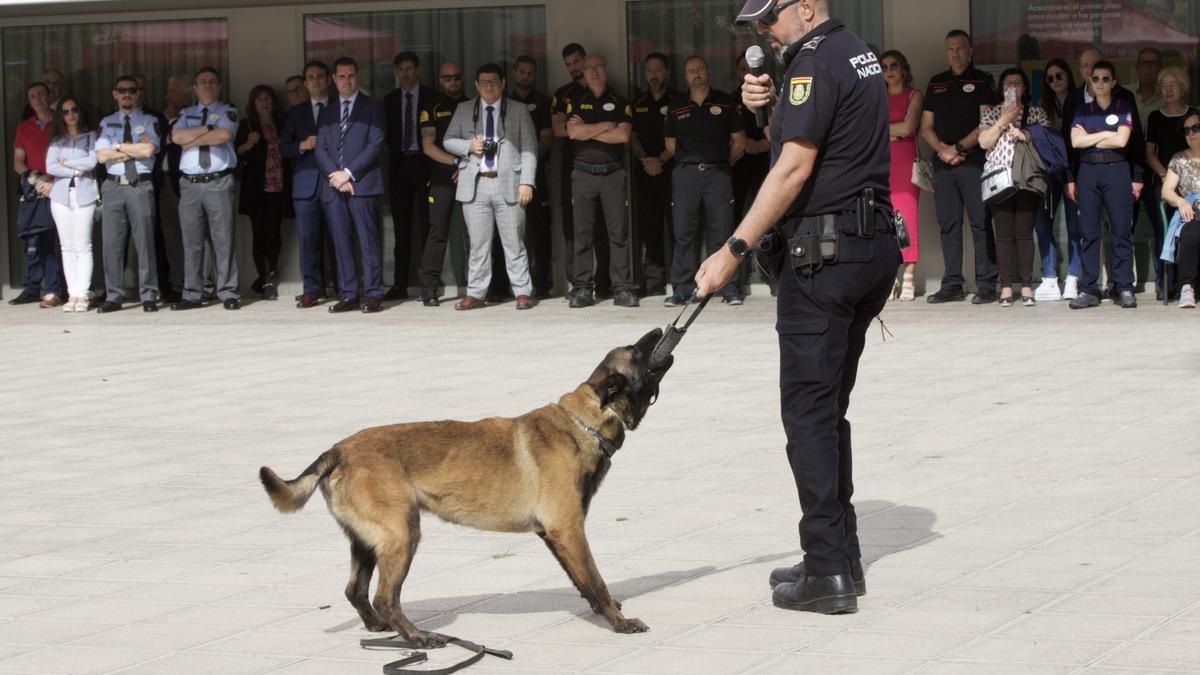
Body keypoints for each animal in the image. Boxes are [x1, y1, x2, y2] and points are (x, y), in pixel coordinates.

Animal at [259, 329, 672, 643]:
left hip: (368, 541)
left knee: (356, 591)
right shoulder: (568, 530)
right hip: (402, 534)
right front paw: (619, 623)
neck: (584, 423)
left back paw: (382, 629)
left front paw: (605, 612)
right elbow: (596, 580)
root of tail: (338, 450)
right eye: (636, 351)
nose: (659, 328)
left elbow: (583, 582)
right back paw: (417, 638)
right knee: (384, 597)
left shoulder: (556, 535)